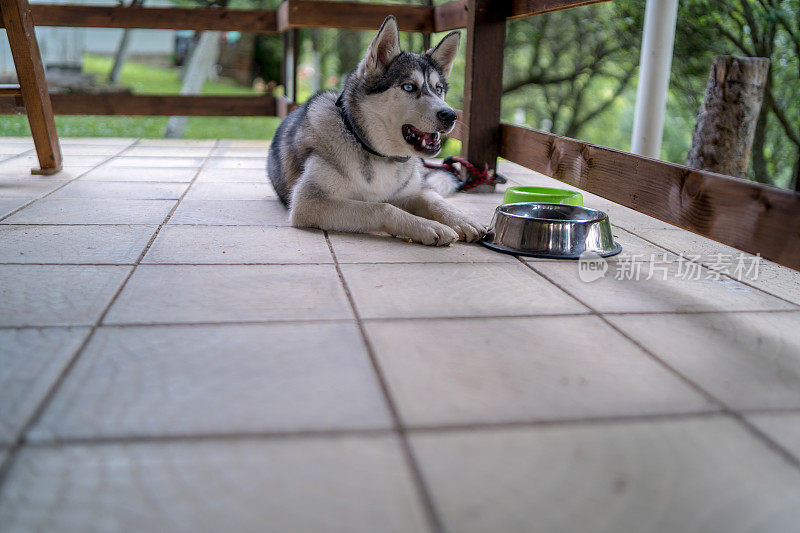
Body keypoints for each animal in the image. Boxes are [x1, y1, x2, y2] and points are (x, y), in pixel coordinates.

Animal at [268, 15, 484, 245]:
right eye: (409, 87)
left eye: (439, 89)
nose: (450, 115)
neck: (376, 152)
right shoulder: (309, 202)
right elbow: (382, 207)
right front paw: (428, 226)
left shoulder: (411, 192)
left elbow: (433, 200)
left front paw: (462, 219)